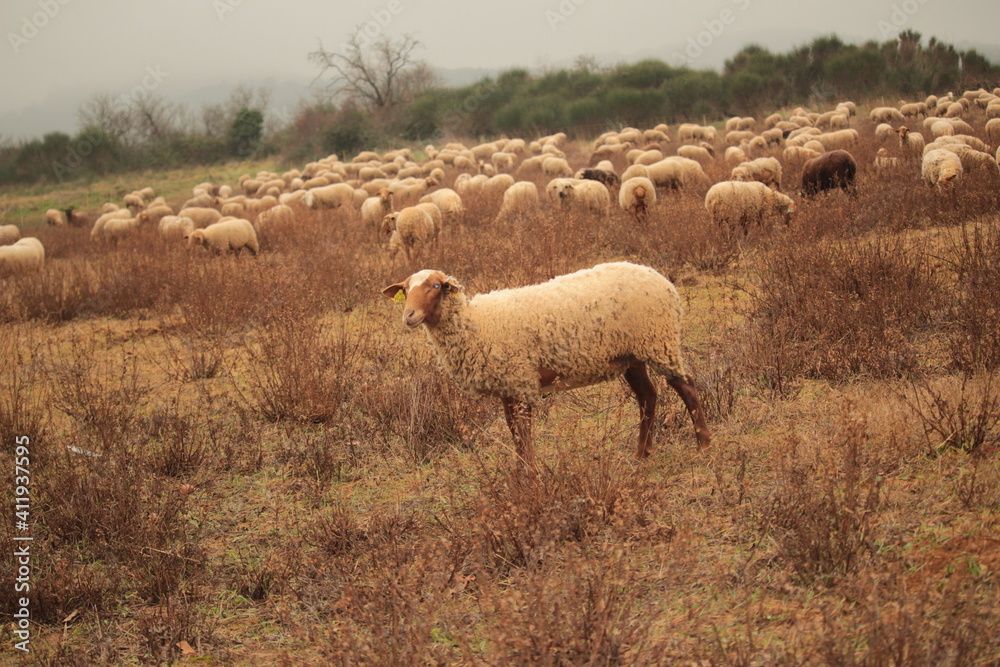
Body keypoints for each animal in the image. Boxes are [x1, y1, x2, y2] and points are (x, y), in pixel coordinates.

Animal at [381, 262, 711, 466]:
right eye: (406, 289)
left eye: (436, 286)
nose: (409, 316)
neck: (475, 324)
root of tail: (662, 280)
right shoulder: (508, 386)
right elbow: (514, 433)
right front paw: (521, 475)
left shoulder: (520, 380)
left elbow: (523, 434)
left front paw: (530, 477)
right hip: (631, 355)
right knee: (648, 396)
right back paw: (641, 454)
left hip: (658, 340)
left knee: (685, 386)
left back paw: (704, 445)